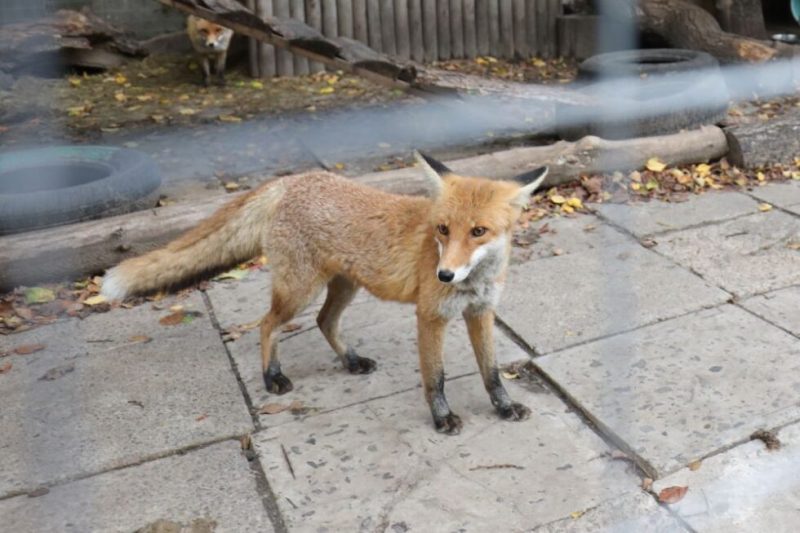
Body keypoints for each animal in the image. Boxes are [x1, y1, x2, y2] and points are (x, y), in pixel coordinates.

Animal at [101, 152, 552, 434]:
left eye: (478, 231)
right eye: (442, 229)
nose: (444, 275)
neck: (475, 280)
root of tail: (292, 181)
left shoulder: (481, 312)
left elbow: (491, 372)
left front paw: (504, 408)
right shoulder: (430, 316)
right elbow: (436, 379)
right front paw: (442, 419)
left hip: (343, 287)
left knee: (323, 322)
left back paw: (350, 361)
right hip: (299, 290)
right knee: (267, 324)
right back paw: (272, 377)